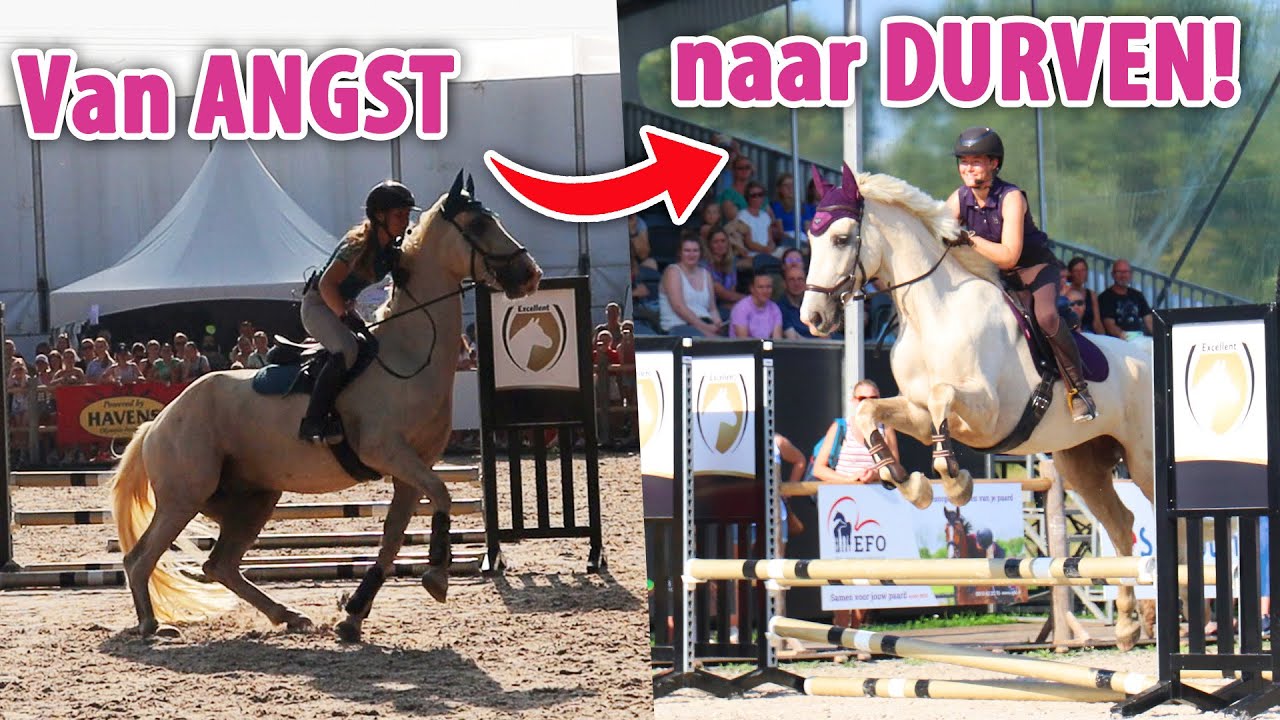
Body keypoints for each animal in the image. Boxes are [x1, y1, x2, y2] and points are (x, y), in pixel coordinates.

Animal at [110, 171, 542, 642]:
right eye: (479, 224)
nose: (531, 274)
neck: (411, 353)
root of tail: (157, 423)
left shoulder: (412, 469)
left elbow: (393, 537)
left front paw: (353, 615)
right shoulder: (386, 452)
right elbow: (442, 495)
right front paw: (436, 577)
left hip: (254, 497)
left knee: (219, 564)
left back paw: (287, 616)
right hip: (184, 496)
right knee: (141, 557)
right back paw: (150, 623)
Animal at [799, 164, 1154, 650]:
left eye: (840, 238)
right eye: (809, 240)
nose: (812, 318)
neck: (933, 311)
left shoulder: (987, 414)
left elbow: (942, 397)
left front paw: (955, 481)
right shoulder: (916, 413)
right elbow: (871, 414)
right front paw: (911, 484)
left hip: (1145, 459)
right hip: (1083, 464)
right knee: (1121, 522)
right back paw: (1128, 624)